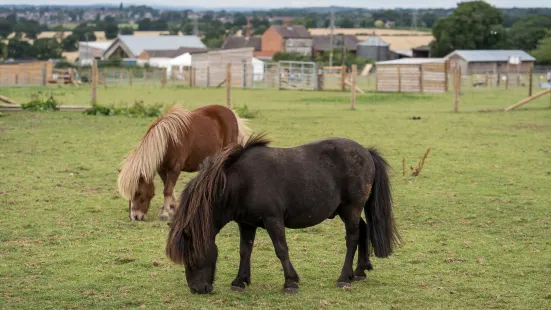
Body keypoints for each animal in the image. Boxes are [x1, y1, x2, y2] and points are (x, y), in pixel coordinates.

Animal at [118, 105, 252, 222]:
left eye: (139, 193)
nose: (135, 217)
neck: (168, 141)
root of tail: (231, 113)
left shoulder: (175, 168)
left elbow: (167, 190)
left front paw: (165, 214)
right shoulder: (162, 170)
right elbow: (168, 188)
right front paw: (172, 209)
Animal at [164, 133, 402, 294]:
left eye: (191, 255)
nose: (197, 289)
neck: (241, 182)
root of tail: (366, 152)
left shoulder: (273, 220)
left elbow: (281, 250)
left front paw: (290, 282)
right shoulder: (246, 224)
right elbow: (245, 251)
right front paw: (240, 281)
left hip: (350, 208)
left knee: (352, 237)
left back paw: (344, 277)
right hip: (349, 210)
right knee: (363, 229)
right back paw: (360, 271)